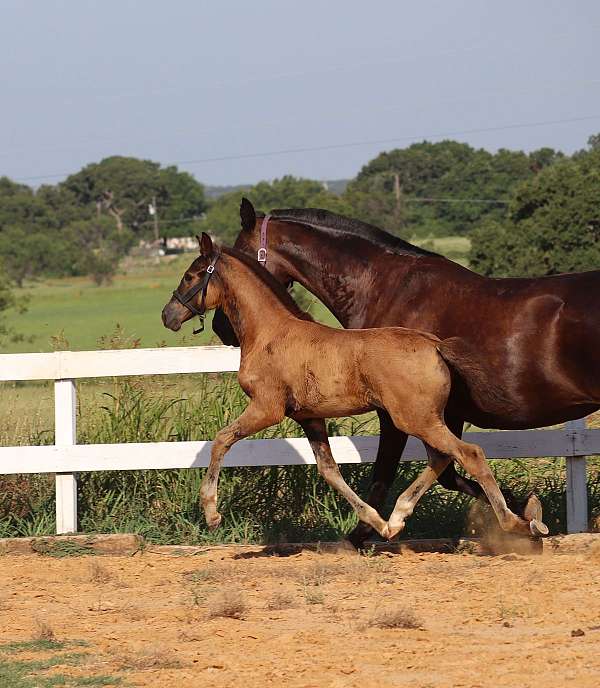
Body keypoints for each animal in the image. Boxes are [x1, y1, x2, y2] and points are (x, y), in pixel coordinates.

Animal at [162, 236, 548, 544]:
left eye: (192, 275)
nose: (168, 315)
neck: (270, 333)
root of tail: (435, 345)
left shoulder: (266, 408)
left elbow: (222, 440)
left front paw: (212, 514)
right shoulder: (310, 419)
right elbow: (330, 471)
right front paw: (377, 524)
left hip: (415, 419)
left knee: (470, 454)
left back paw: (517, 523)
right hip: (424, 420)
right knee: (442, 460)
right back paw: (397, 519)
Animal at [213, 199, 596, 548]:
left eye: (239, 255)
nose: (222, 329)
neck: (388, 288)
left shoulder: (397, 413)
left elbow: (387, 473)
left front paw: (364, 533)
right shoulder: (439, 415)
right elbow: (447, 472)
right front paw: (524, 510)